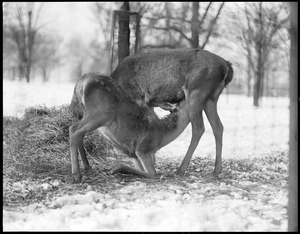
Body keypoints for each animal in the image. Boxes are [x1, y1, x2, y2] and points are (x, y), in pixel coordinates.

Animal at [110, 48, 234, 176]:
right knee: (218, 126)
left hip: (195, 92)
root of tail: (227, 66)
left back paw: (181, 168)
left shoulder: (139, 99)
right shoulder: (149, 103)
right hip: (211, 98)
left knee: (199, 128)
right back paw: (217, 169)